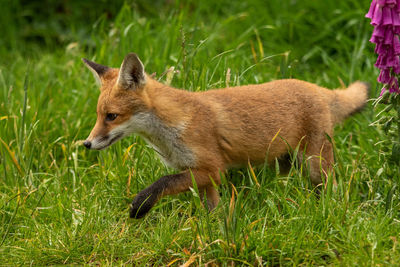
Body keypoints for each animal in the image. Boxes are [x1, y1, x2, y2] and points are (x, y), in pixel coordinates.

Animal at [82, 52, 368, 220]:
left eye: (111, 116)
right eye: (98, 115)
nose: (87, 143)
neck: (173, 125)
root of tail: (319, 89)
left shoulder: (212, 168)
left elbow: (162, 182)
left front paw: (141, 206)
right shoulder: (200, 175)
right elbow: (213, 207)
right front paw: (217, 228)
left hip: (315, 165)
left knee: (330, 188)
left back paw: (328, 210)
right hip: (284, 162)